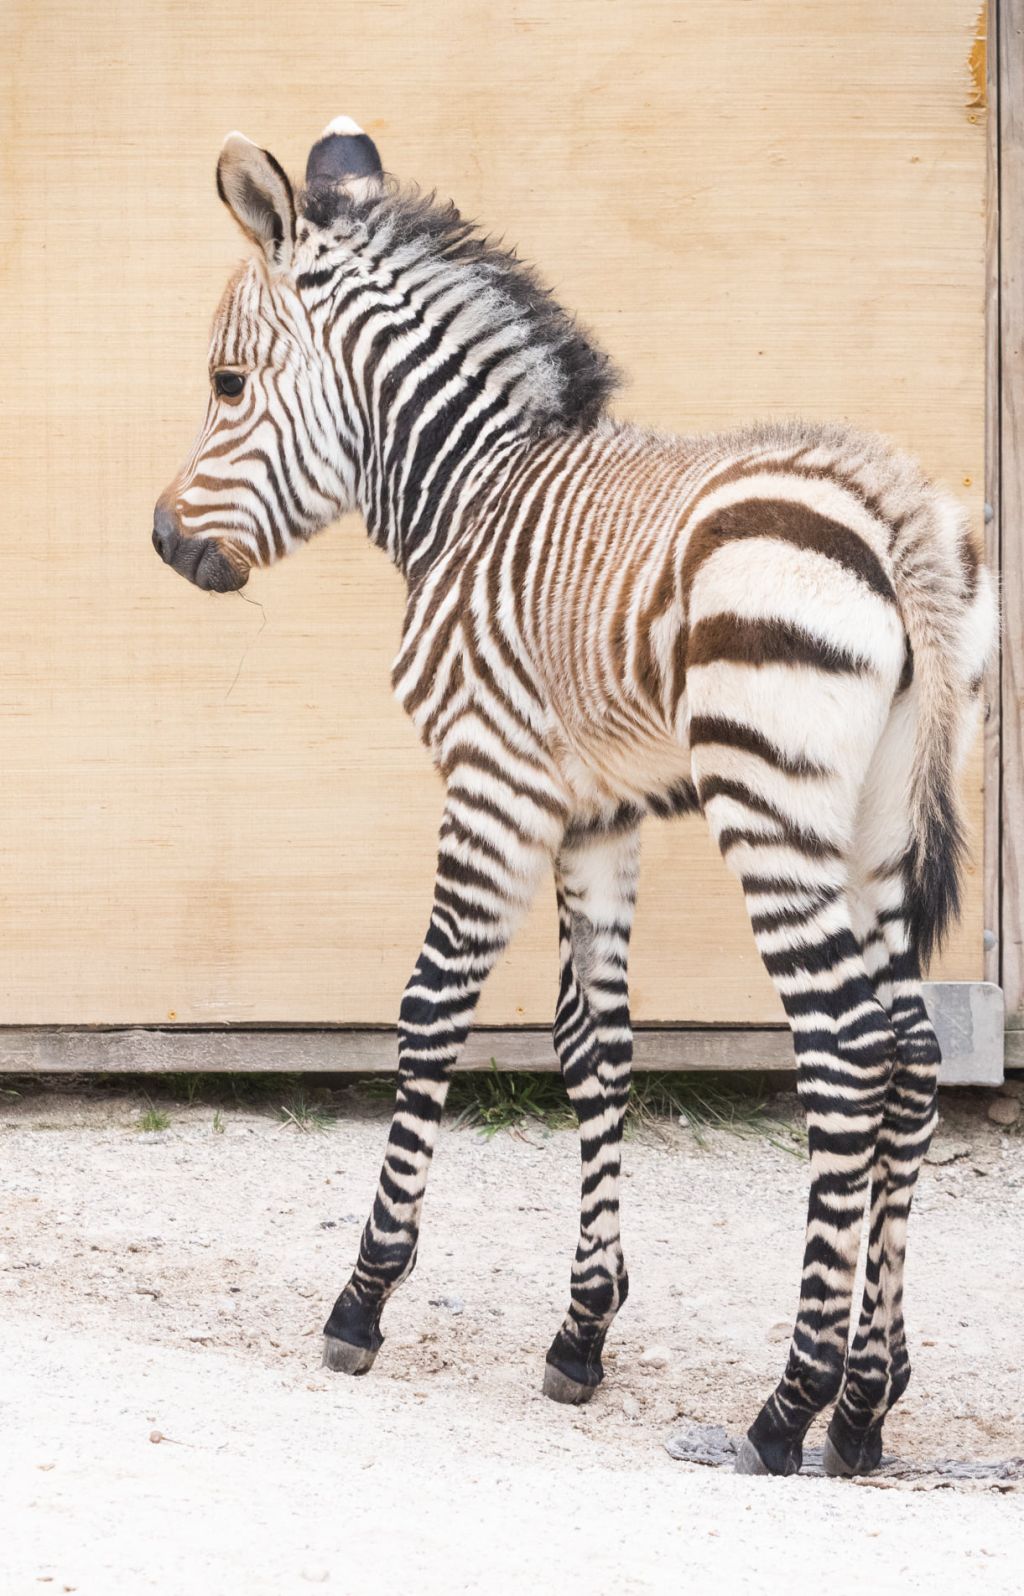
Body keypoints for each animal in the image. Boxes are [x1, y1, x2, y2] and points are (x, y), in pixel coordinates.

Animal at [153, 117, 997, 1478]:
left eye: (228, 385)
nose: (167, 546)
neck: (469, 490)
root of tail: (897, 514)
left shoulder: (489, 785)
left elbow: (429, 1010)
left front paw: (363, 1300)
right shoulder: (597, 816)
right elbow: (593, 1044)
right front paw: (582, 1333)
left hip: (770, 810)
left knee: (845, 1056)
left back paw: (790, 1406)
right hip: (869, 823)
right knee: (912, 1060)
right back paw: (868, 1403)